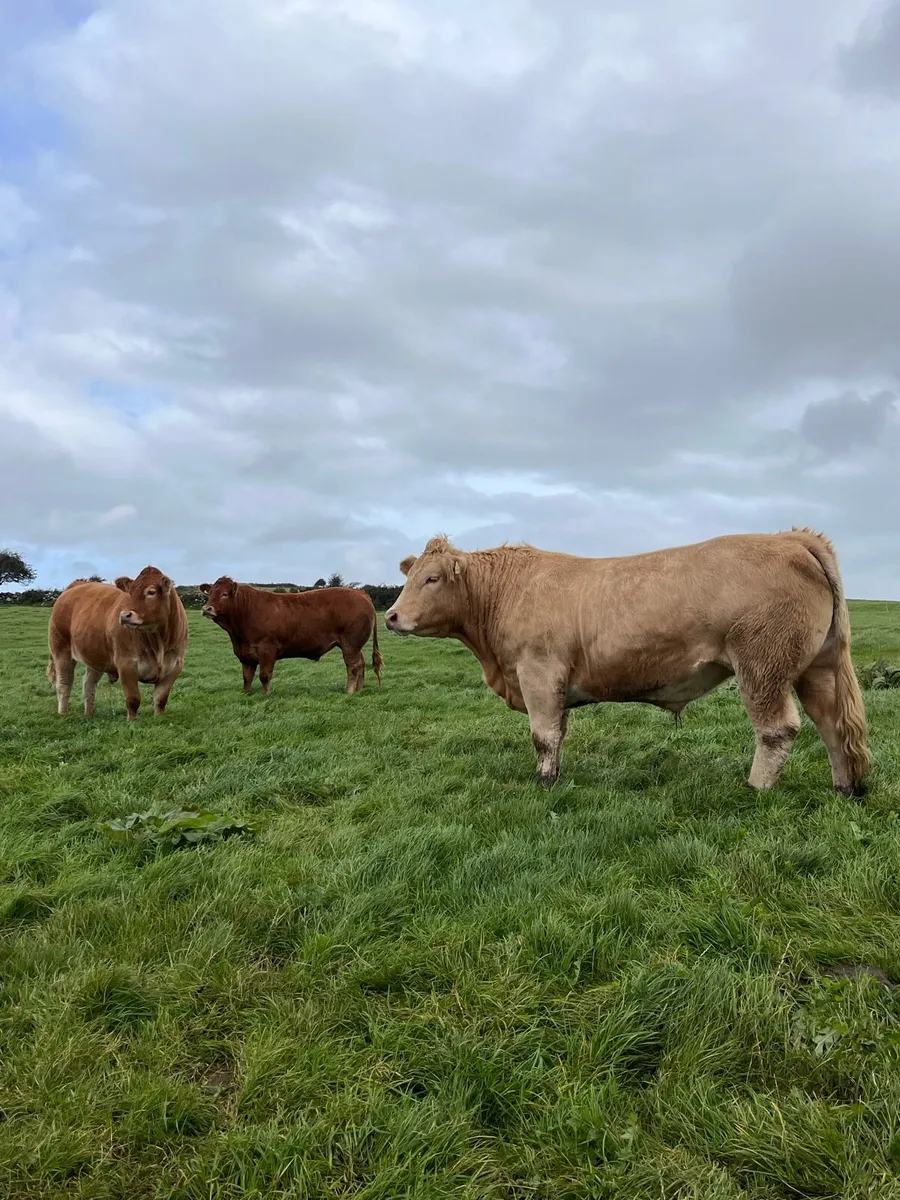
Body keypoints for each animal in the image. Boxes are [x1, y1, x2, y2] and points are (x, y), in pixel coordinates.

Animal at [47, 566, 189, 720]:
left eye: (151, 592)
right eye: (130, 592)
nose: (124, 615)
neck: (159, 642)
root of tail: (77, 584)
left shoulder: (175, 666)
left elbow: (160, 699)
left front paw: (159, 718)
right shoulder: (126, 664)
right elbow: (133, 699)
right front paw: (132, 721)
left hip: (96, 656)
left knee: (88, 684)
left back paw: (89, 714)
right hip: (61, 650)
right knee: (64, 683)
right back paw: (63, 713)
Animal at [199, 578, 383, 695]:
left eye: (224, 594)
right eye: (210, 593)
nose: (207, 608)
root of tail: (360, 593)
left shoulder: (267, 650)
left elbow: (264, 675)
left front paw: (266, 696)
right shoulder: (245, 654)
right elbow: (247, 677)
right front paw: (246, 694)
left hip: (350, 644)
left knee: (353, 666)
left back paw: (349, 691)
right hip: (355, 645)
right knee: (361, 664)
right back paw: (359, 689)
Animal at [384, 529, 870, 796]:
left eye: (432, 579)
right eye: (409, 577)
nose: (391, 616)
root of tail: (790, 537)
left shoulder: (537, 672)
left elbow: (543, 736)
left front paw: (543, 783)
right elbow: (558, 734)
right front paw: (555, 775)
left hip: (762, 665)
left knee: (778, 729)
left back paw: (756, 789)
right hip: (816, 667)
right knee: (832, 723)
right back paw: (845, 787)